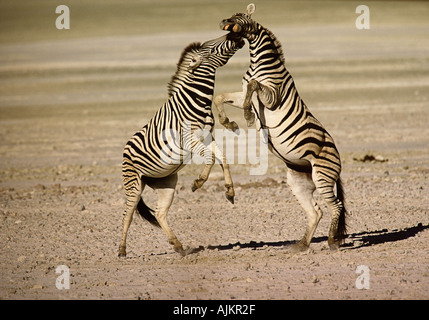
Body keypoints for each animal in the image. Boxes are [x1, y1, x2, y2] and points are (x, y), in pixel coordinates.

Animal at [118, 33, 244, 258]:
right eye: (212, 49)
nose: (235, 35)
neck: (197, 101)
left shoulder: (207, 137)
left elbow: (223, 157)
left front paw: (230, 191)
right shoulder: (189, 140)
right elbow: (212, 158)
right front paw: (199, 182)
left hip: (166, 182)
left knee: (159, 213)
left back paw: (178, 246)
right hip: (133, 184)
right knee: (128, 215)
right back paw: (122, 250)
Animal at [216, 3, 346, 251]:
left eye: (241, 16)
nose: (223, 22)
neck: (258, 63)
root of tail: (338, 160)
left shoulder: (272, 96)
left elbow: (254, 86)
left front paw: (248, 116)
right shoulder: (241, 93)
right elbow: (221, 96)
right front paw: (227, 122)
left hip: (322, 175)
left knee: (336, 206)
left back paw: (332, 242)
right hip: (298, 180)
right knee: (315, 212)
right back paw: (301, 245)